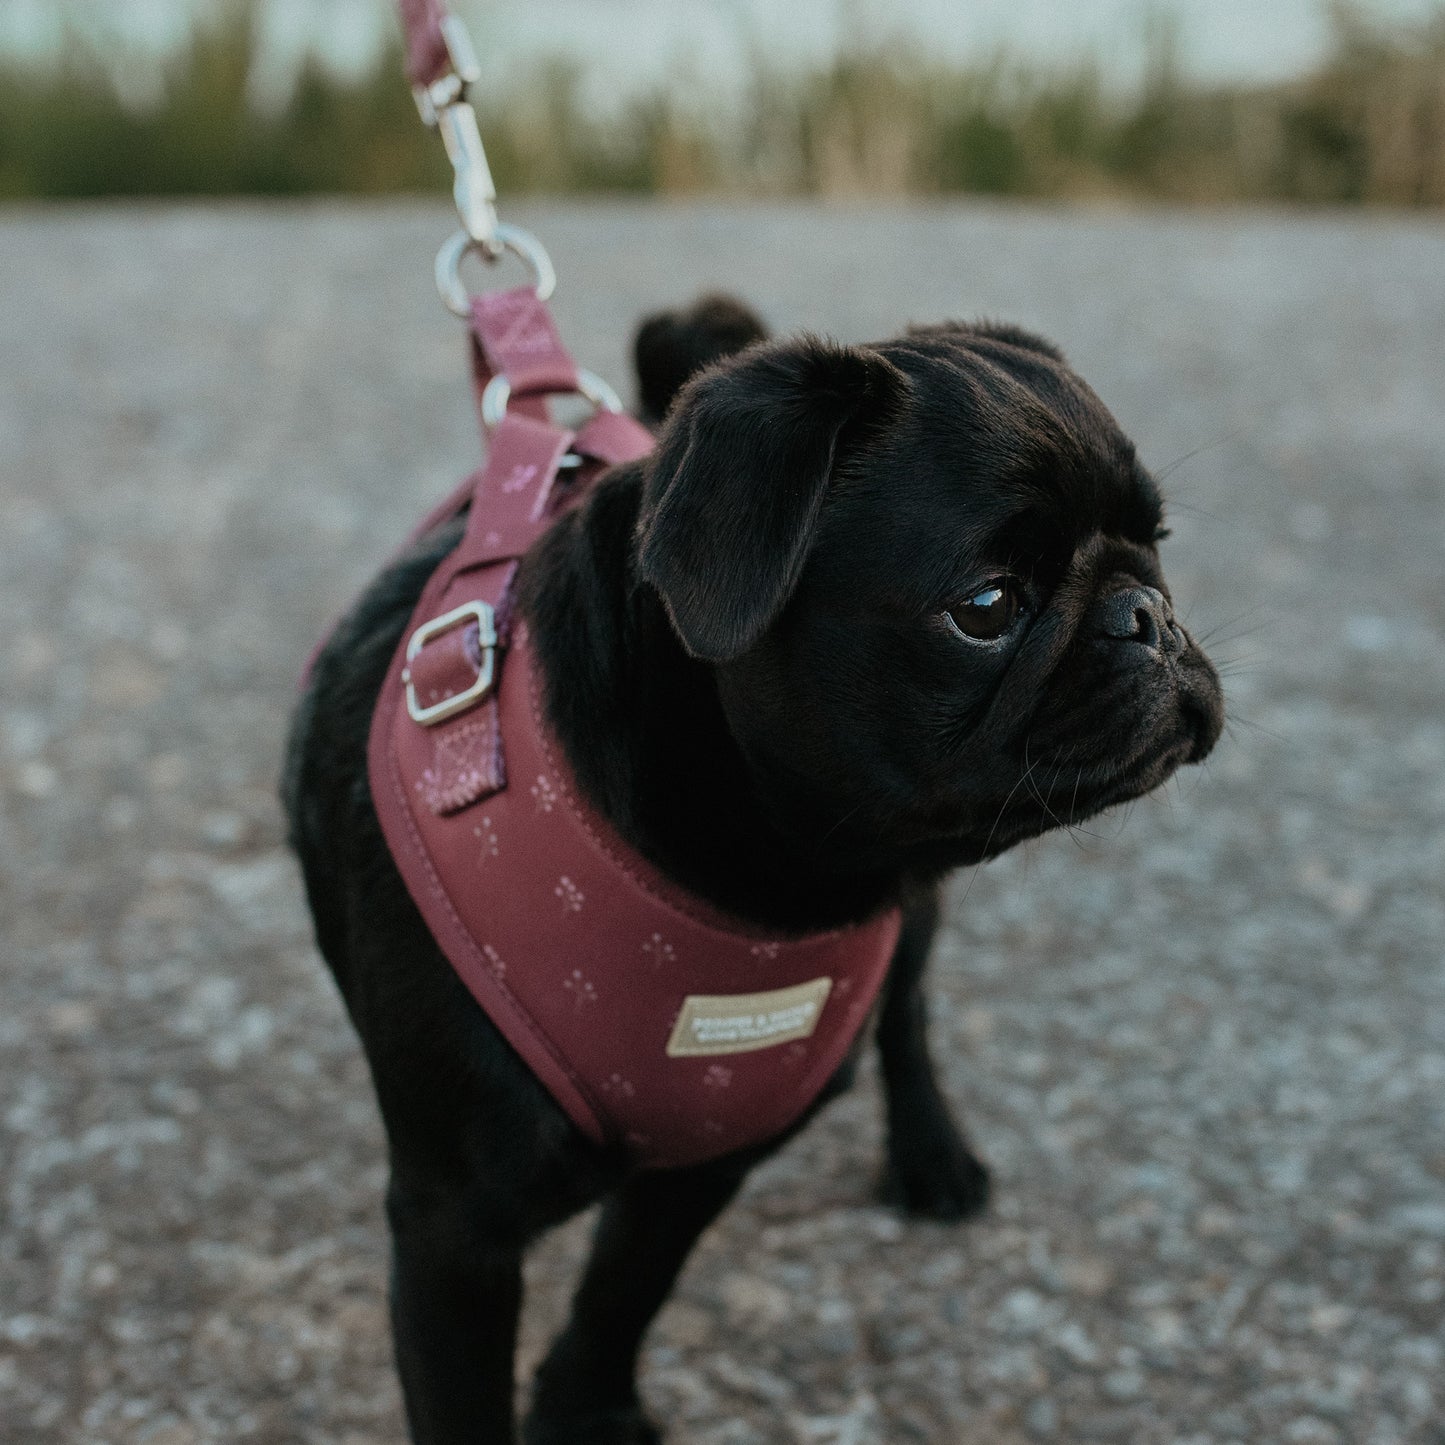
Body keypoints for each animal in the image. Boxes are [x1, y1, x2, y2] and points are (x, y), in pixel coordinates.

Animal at [278, 296, 1219, 1445]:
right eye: (987, 605)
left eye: (1157, 545)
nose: (1147, 615)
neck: (760, 886)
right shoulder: (456, 1232)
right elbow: (482, 1393)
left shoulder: (705, 1158)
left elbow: (625, 1287)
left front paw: (587, 1404)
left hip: (914, 929)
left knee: (906, 1011)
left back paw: (932, 1154)